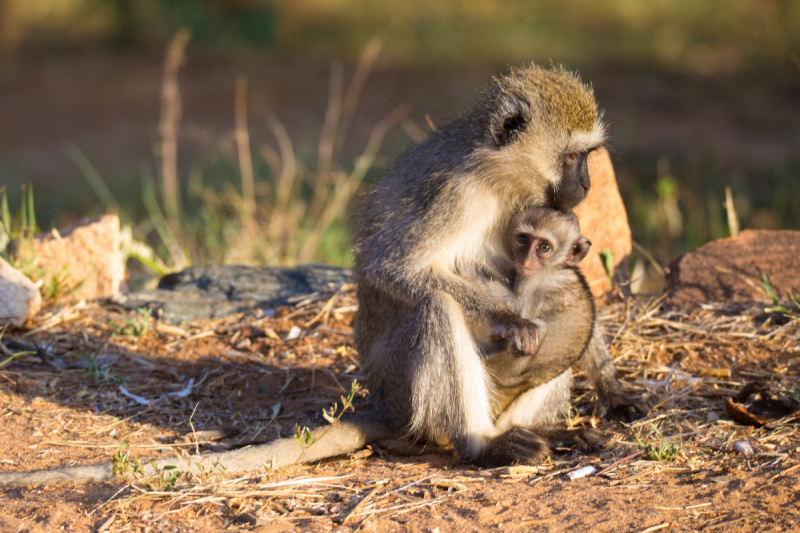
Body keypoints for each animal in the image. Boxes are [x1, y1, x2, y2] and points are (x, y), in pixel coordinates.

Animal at [478, 206, 596, 418]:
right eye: (523, 239)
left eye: (544, 247)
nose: (526, 260)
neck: (555, 266)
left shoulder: (534, 283)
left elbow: (518, 314)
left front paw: (481, 276)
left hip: (504, 368)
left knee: (536, 328)